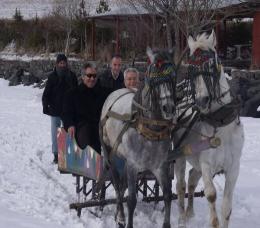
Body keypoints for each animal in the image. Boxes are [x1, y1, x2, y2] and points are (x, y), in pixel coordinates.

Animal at [100, 48, 176, 228]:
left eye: (172, 76)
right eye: (153, 78)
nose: (168, 108)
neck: (150, 130)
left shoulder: (160, 166)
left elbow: (167, 195)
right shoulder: (133, 165)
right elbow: (132, 200)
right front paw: (126, 221)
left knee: (121, 186)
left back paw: (117, 214)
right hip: (110, 154)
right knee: (117, 185)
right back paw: (120, 216)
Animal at [175, 30, 244, 228]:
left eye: (212, 64)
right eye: (190, 69)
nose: (201, 101)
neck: (220, 124)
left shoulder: (233, 167)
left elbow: (226, 206)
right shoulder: (206, 165)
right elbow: (211, 195)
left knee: (191, 178)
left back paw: (190, 213)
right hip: (179, 157)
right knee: (181, 185)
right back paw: (182, 218)